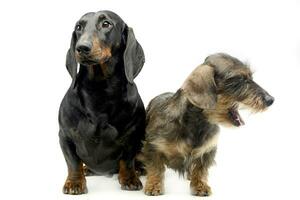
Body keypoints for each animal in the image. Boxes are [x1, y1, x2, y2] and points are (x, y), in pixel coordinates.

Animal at [58, 10, 145, 195]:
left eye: (106, 24)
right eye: (79, 27)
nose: (81, 47)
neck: (99, 91)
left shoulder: (133, 136)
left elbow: (127, 160)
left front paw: (129, 178)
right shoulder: (65, 136)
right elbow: (73, 162)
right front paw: (74, 182)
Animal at [142, 52, 276, 195]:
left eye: (250, 77)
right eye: (238, 79)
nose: (271, 100)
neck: (197, 124)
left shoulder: (207, 151)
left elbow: (200, 170)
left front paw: (200, 185)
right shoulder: (153, 148)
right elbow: (156, 168)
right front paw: (154, 186)